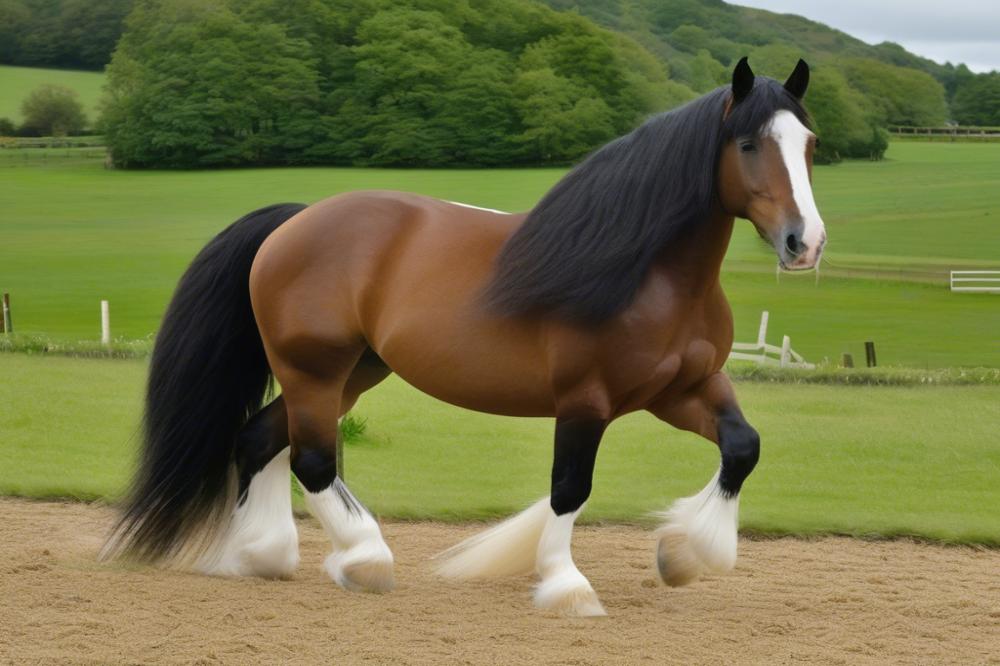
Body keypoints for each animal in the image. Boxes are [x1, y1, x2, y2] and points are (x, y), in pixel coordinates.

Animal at [105, 58, 828, 616]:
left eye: (810, 143)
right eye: (748, 144)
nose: (806, 243)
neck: (650, 273)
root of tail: (294, 222)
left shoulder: (683, 389)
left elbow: (742, 448)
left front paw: (684, 553)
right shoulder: (585, 401)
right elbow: (570, 488)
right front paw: (566, 586)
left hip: (352, 374)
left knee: (259, 440)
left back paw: (261, 555)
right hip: (315, 371)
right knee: (311, 460)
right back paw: (363, 559)